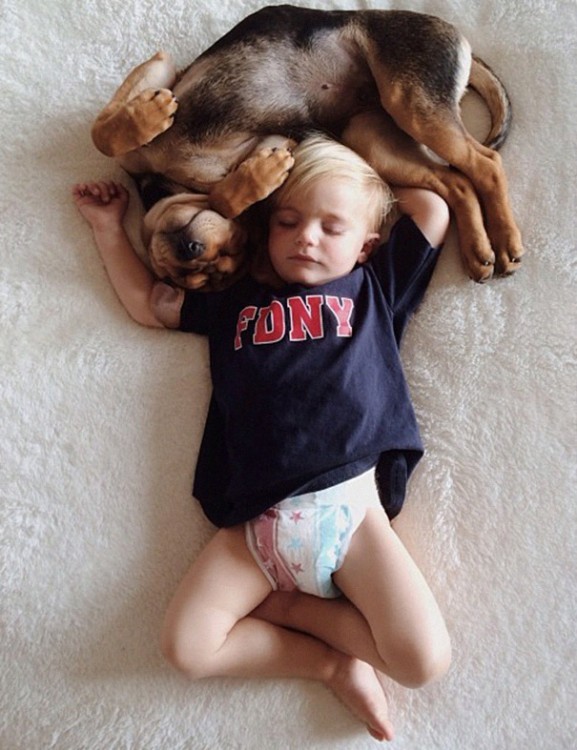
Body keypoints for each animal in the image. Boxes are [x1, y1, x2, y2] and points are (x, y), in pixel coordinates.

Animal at [92, 4, 524, 290]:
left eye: (223, 255)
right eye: (200, 277)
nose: (190, 250)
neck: (168, 183)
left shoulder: (160, 70)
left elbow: (103, 134)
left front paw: (148, 115)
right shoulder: (277, 142)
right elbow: (228, 195)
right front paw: (252, 180)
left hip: (412, 104)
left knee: (486, 163)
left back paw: (505, 240)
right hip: (371, 140)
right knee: (456, 182)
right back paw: (478, 251)